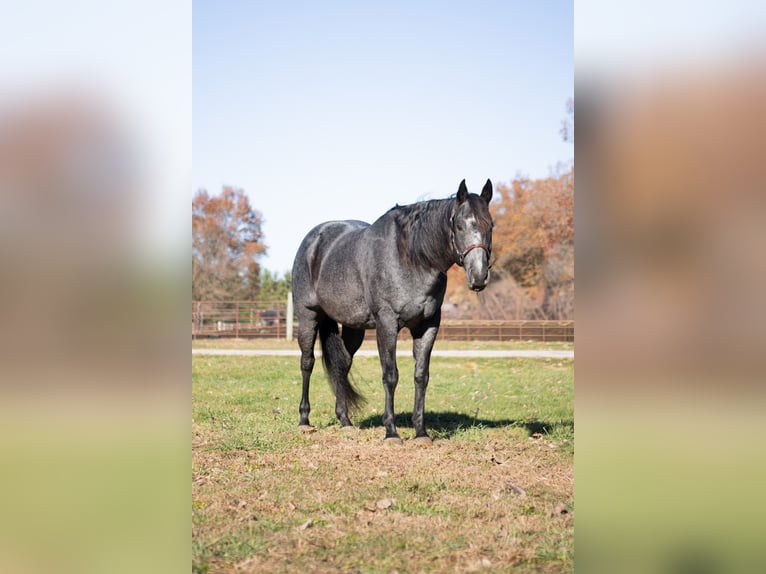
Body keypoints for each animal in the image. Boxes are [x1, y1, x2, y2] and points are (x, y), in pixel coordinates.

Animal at [291, 179, 493, 443]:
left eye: (491, 226)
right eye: (459, 226)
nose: (479, 277)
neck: (411, 258)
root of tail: (312, 241)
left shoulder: (428, 326)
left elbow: (421, 376)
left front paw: (421, 432)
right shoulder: (387, 323)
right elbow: (390, 375)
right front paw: (391, 432)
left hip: (353, 327)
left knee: (341, 366)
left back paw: (345, 421)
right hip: (308, 316)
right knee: (307, 362)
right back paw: (304, 420)